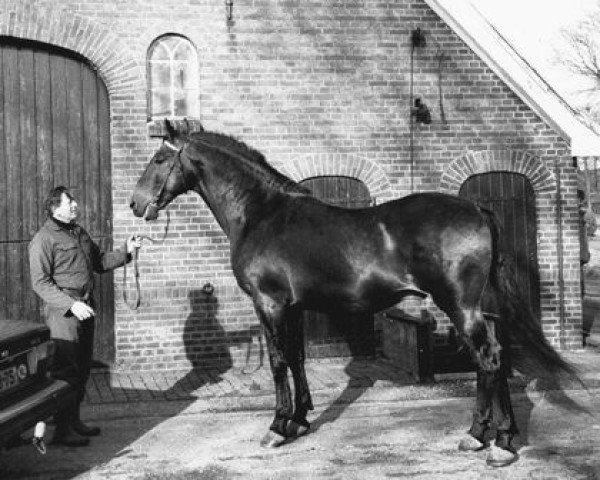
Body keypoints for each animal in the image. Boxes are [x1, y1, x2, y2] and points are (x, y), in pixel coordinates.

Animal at [129, 121, 580, 468]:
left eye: (159, 160)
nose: (135, 204)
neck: (262, 214)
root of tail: (477, 210)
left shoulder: (269, 304)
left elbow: (277, 361)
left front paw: (277, 427)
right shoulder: (293, 308)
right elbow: (297, 358)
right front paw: (300, 420)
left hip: (459, 306)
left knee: (487, 359)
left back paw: (490, 442)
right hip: (481, 308)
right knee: (497, 360)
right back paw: (493, 436)